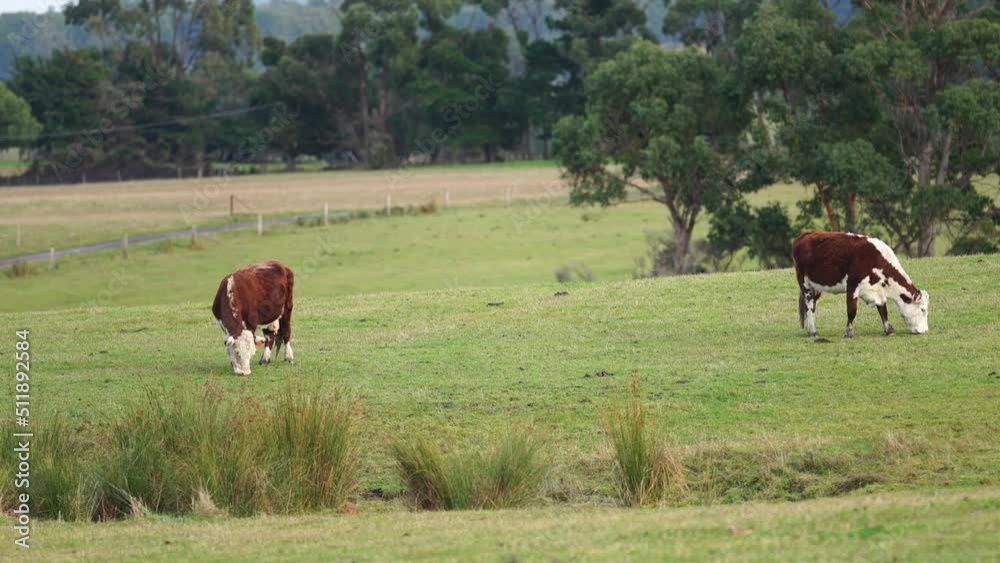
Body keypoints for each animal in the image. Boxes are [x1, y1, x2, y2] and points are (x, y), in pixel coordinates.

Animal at [792, 231, 929, 338]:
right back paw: (813, 331)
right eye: (923, 309)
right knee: (809, 306)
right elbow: (852, 311)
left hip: (817, 287)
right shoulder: (852, 286)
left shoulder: (877, 291)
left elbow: (883, 310)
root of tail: (804, 235)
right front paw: (848, 332)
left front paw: (889, 330)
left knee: (813, 305)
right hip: (805, 284)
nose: (924, 330)